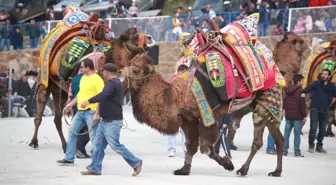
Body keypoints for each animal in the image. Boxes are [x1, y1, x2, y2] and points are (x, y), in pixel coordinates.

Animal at [29, 24, 154, 153]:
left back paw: (64, 145)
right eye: (134, 35)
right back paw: (34, 142)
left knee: (57, 117)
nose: (150, 37)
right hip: (45, 79)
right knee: (39, 113)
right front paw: (80, 149)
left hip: (59, 89)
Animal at [117, 53, 284, 176]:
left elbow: (206, 148)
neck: (175, 96)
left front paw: (228, 164)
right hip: (263, 109)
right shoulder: (188, 119)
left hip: (264, 105)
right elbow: (191, 145)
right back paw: (276, 171)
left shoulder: (208, 117)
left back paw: (243, 169)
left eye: (136, 70)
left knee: (257, 141)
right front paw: (184, 170)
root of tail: (277, 74)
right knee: (279, 138)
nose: (119, 73)